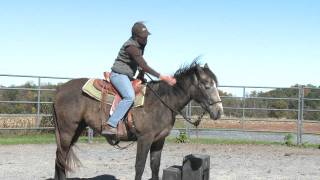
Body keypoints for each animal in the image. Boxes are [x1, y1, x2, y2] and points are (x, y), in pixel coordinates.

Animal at [53, 60, 222, 180]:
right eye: (206, 85)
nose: (219, 111)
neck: (162, 101)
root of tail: (60, 89)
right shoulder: (144, 139)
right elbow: (139, 166)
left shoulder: (158, 140)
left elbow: (155, 166)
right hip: (67, 131)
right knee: (60, 157)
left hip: (76, 130)